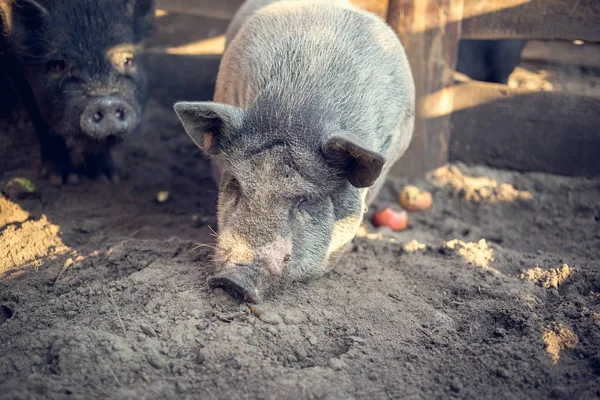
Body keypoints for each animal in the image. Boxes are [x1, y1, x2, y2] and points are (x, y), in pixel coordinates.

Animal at [1, 0, 155, 183]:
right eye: (58, 65)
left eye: (127, 60)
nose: (107, 103)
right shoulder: (13, 58)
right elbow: (38, 114)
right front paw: (62, 179)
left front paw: (107, 178)